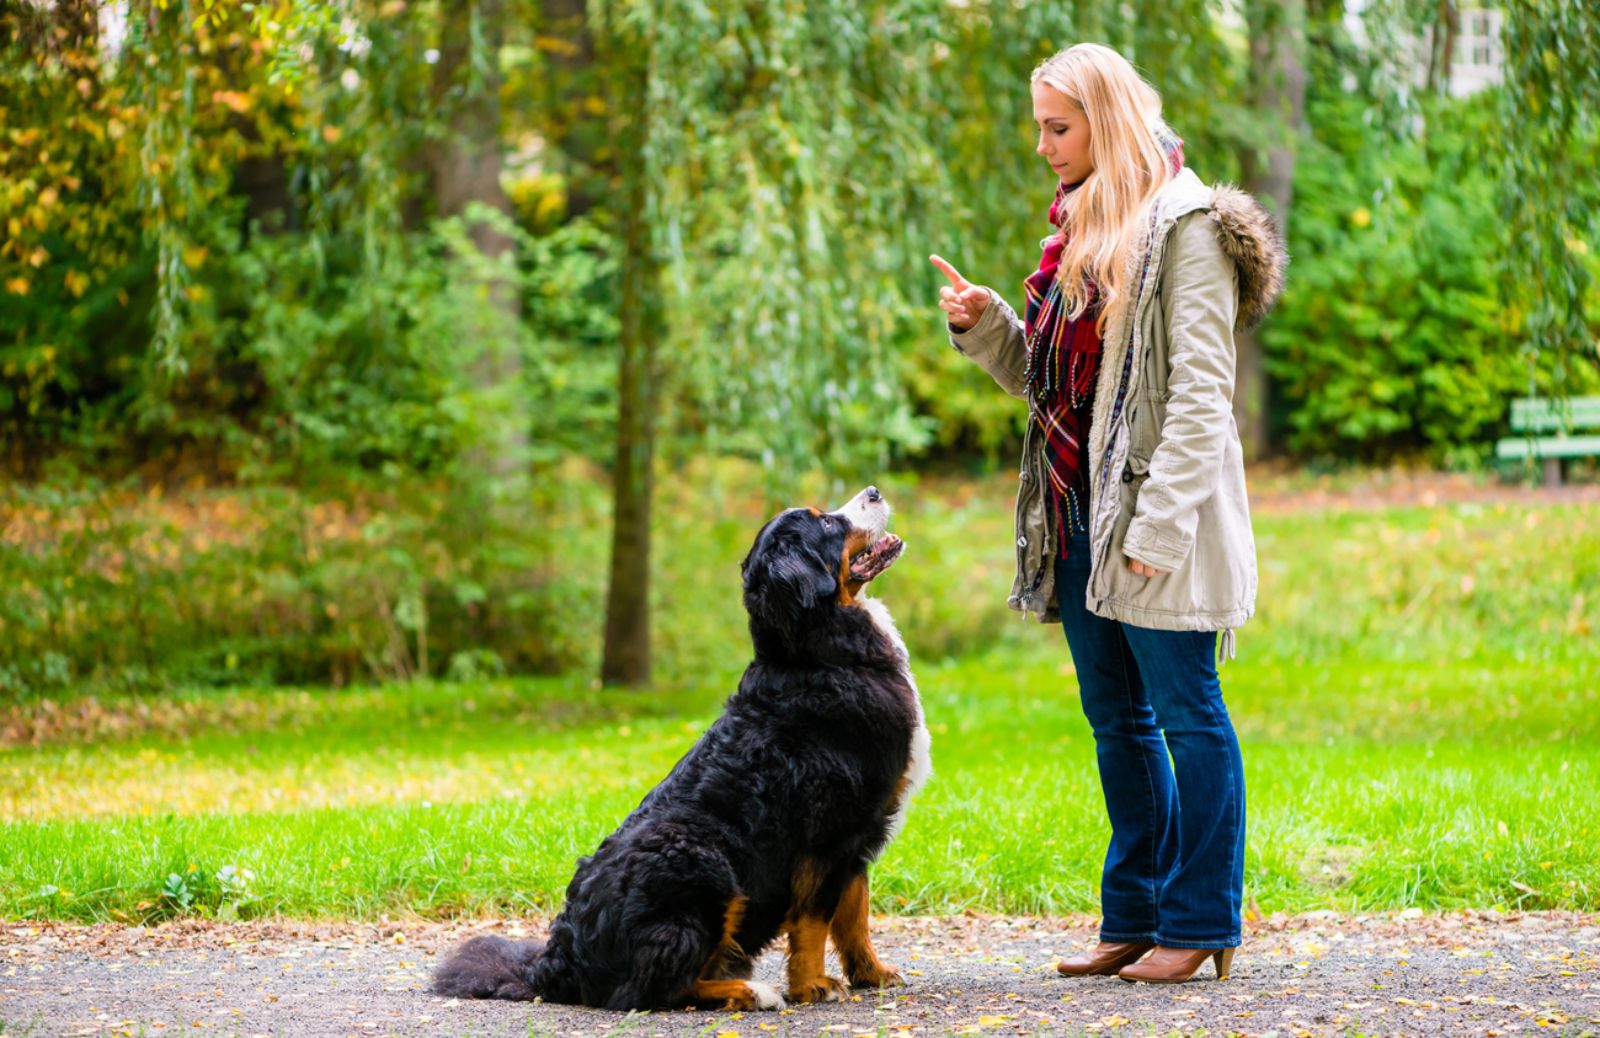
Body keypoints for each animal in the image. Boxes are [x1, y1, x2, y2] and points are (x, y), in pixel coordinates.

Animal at [432, 486, 934, 1010]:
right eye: (828, 524)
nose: (874, 491)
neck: (819, 654)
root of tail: (557, 963)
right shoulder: (831, 833)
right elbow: (815, 919)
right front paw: (812, 985)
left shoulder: (860, 833)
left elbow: (854, 915)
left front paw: (871, 973)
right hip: (701, 860)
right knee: (655, 988)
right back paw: (752, 991)